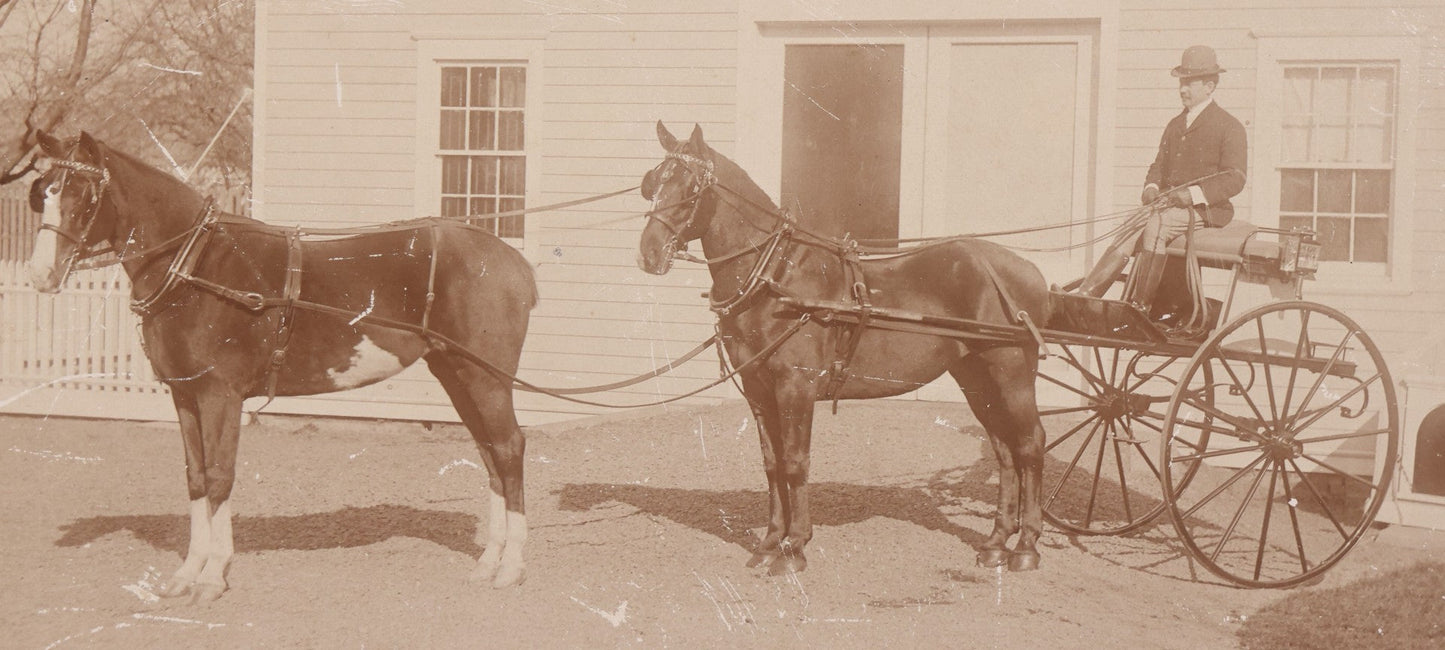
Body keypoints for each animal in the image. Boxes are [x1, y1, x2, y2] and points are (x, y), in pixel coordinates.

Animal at [26, 131, 536, 600]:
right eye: (43, 192)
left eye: (82, 196)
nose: (39, 275)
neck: (196, 267)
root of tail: (512, 261)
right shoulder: (185, 394)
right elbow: (196, 477)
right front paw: (188, 573)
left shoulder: (221, 395)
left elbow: (220, 476)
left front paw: (212, 576)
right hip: (456, 373)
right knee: (490, 453)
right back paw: (489, 563)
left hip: (487, 378)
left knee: (509, 449)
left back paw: (511, 567)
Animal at [637, 122, 1053, 574]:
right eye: (653, 182)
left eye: (691, 187)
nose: (648, 253)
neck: (777, 278)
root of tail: (1028, 270)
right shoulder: (758, 389)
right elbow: (772, 464)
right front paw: (769, 542)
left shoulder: (795, 388)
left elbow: (795, 463)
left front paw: (795, 547)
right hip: (976, 377)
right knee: (1005, 451)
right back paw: (996, 542)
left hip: (1012, 375)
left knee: (1031, 444)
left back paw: (1026, 546)